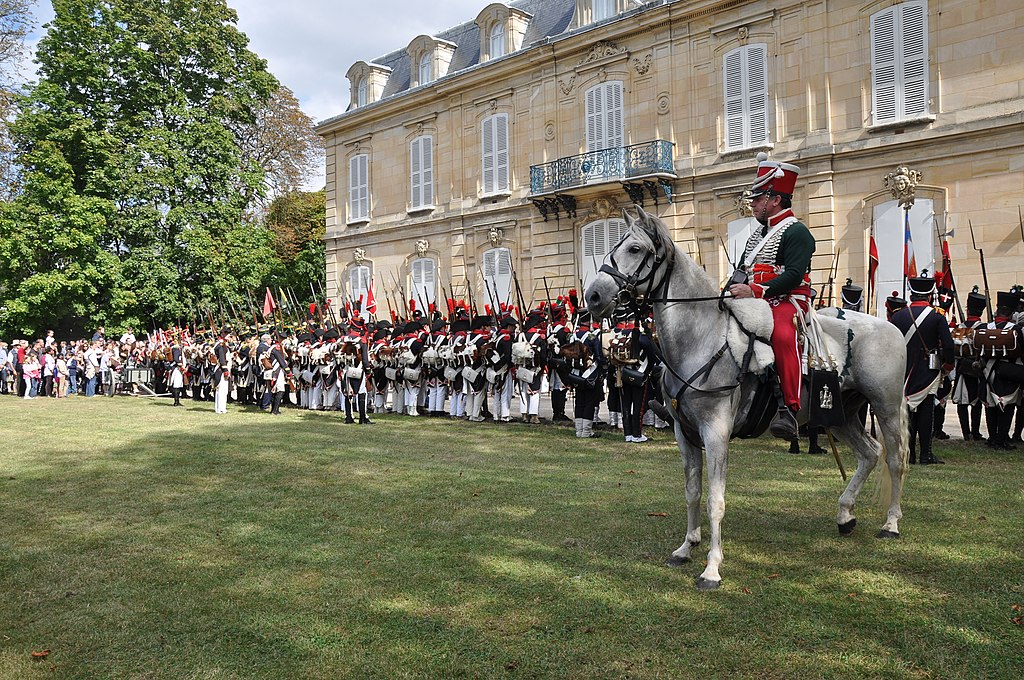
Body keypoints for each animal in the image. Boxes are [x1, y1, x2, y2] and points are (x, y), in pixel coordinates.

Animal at [589, 206, 909, 589]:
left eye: (635, 249)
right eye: (616, 245)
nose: (593, 296)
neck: (701, 338)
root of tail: (889, 326)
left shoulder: (715, 432)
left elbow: (715, 500)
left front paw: (712, 568)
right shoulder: (685, 433)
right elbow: (692, 491)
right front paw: (686, 547)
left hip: (885, 408)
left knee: (895, 459)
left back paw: (891, 523)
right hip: (840, 415)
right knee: (870, 453)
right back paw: (845, 515)